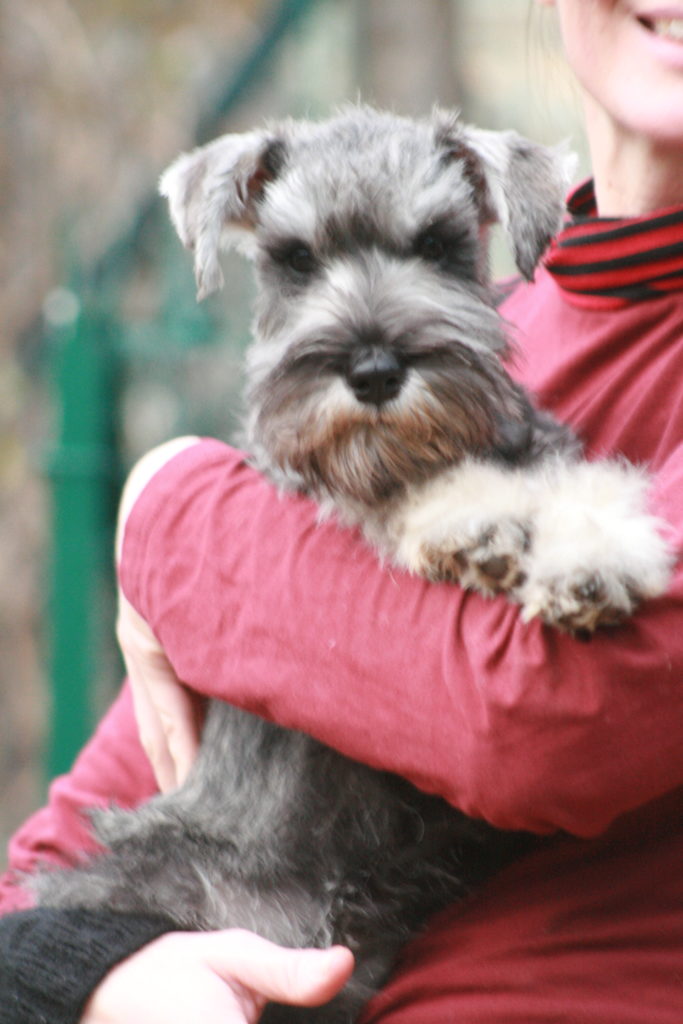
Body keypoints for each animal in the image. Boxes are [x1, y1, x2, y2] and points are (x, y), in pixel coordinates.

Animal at [36, 108, 671, 1019]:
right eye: (296, 258)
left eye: (438, 243)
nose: (373, 369)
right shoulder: (313, 495)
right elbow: (395, 498)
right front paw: (474, 520)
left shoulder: (540, 447)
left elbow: (583, 480)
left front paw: (592, 560)